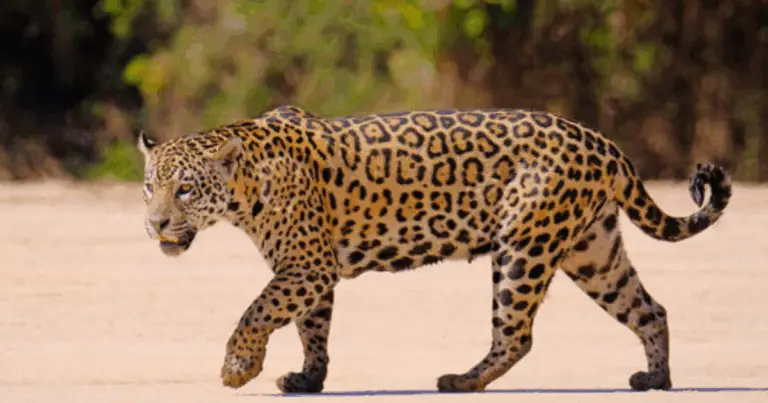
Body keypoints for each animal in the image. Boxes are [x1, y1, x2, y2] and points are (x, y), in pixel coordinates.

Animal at [137, 104, 732, 394]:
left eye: (184, 190)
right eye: (149, 187)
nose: (155, 223)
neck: (245, 185)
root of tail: (602, 142)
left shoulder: (305, 266)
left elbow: (256, 311)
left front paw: (238, 367)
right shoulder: (311, 270)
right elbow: (312, 328)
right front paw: (308, 380)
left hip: (523, 247)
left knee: (516, 335)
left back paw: (463, 381)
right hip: (593, 250)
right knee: (649, 309)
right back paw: (656, 380)